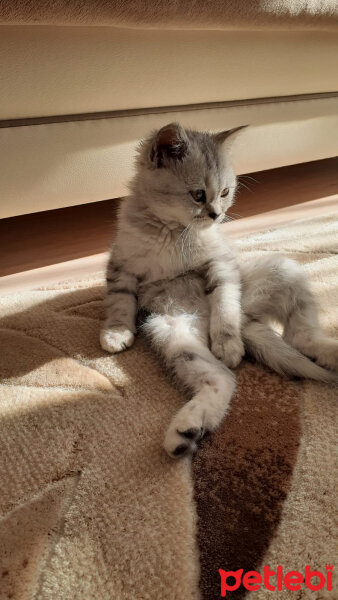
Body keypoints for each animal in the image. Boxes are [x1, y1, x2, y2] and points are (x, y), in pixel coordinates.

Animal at [101, 123, 338, 460]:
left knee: (299, 337)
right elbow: (119, 302)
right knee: (224, 378)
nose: (216, 215)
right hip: (174, 336)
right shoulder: (122, 265)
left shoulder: (221, 264)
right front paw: (116, 333)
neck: (173, 233)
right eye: (198, 194)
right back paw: (186, 431)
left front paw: (227, 344)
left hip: (280, 270)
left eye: (225, 193)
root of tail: (248, 323)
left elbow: (225, 304)